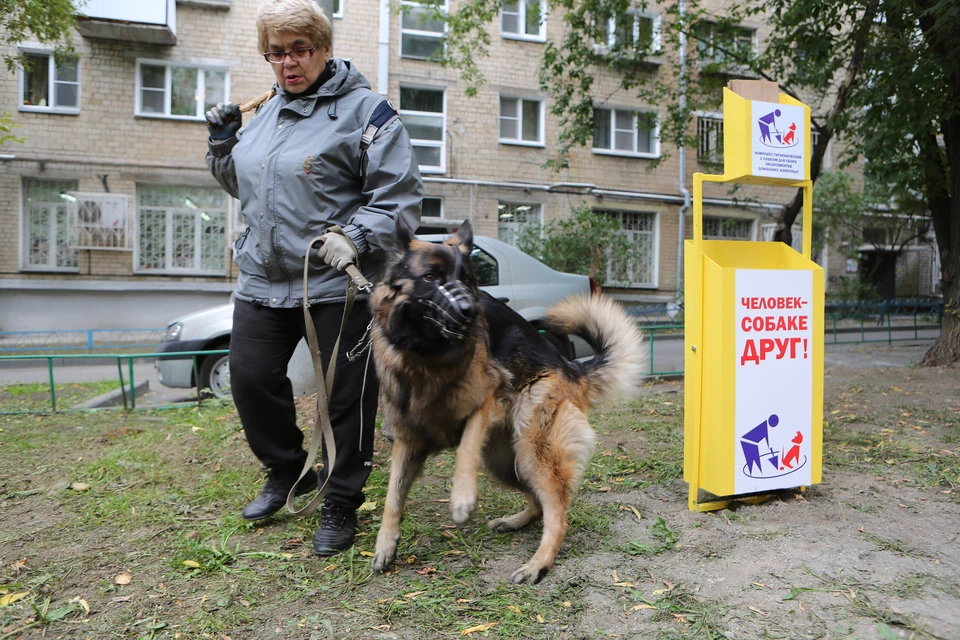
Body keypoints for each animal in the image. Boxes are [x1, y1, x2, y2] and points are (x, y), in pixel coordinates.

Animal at [368, 221, 644, 584]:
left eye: (467, 278)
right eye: (430, 277)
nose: (471, 312)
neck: (428, 357)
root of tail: (571, 367)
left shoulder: (485, 403)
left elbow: (465, 450)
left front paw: (461, 500)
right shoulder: (408, 441)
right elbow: (392, 497)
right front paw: (385, 545)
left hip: (531, 449)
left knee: (558, 511)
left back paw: (538, 563)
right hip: (504, 460)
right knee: (540, 503)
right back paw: (515, 522)